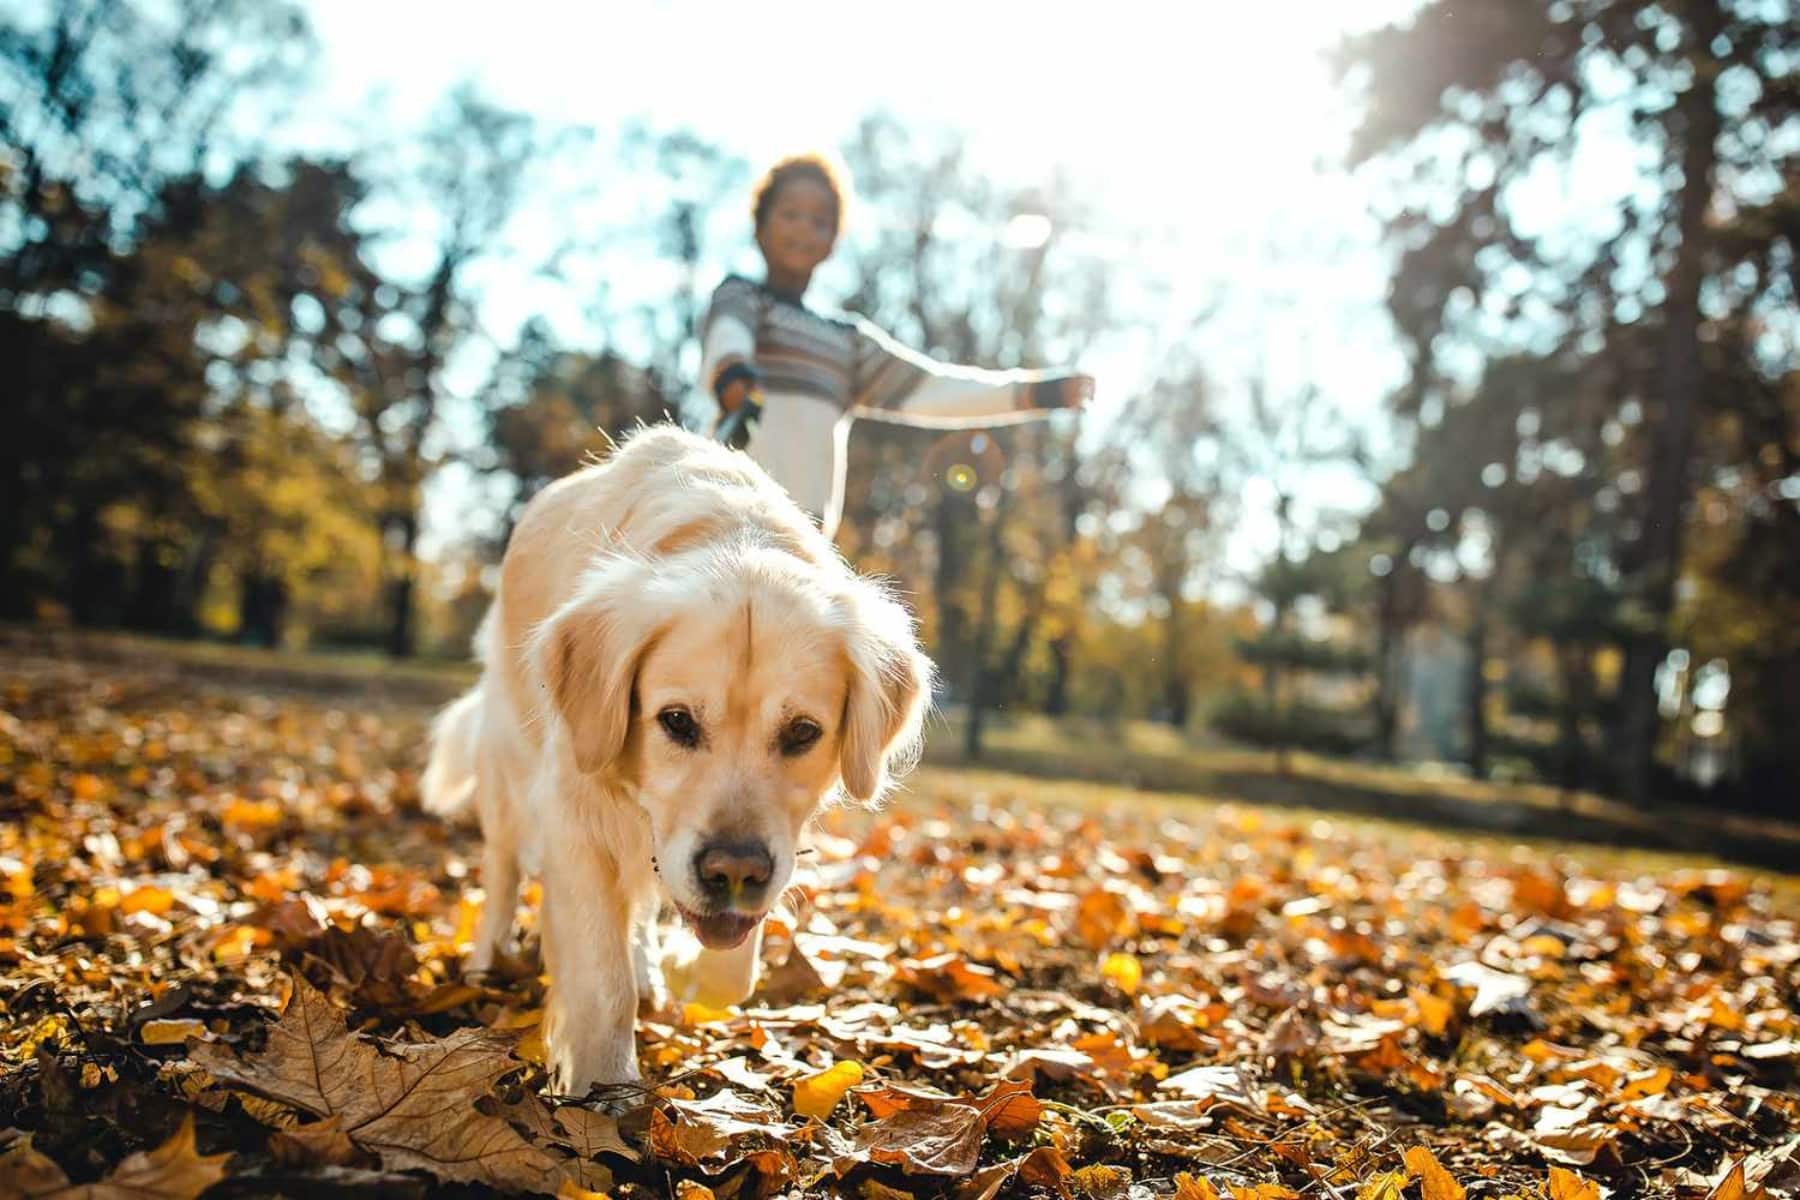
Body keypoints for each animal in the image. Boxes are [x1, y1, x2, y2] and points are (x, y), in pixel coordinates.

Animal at [421, 426, 928, 1093]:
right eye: (677, 721)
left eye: (802, 732)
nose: (733, 872)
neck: (731, 534)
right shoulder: (573, 817)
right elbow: (601, 985)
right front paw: (603, 1091)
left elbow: (733, 970)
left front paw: (685, 971)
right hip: (509, 765)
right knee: (503, 870)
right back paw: (484, 966)